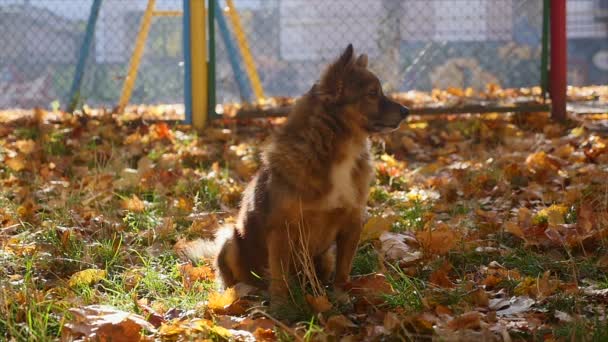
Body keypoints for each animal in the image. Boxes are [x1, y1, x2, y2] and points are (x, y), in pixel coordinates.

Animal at [185, 44, 408, 304]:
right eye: (372, 93)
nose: (407, 111)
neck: (338, 152)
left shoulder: (351, 224)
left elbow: (343, 270)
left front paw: (340, 296)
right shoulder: (283, 230)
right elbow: (280, 274)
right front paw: (282, 305)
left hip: (323, 258)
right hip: (230, 240)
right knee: (238, 281)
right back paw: (246, 294)